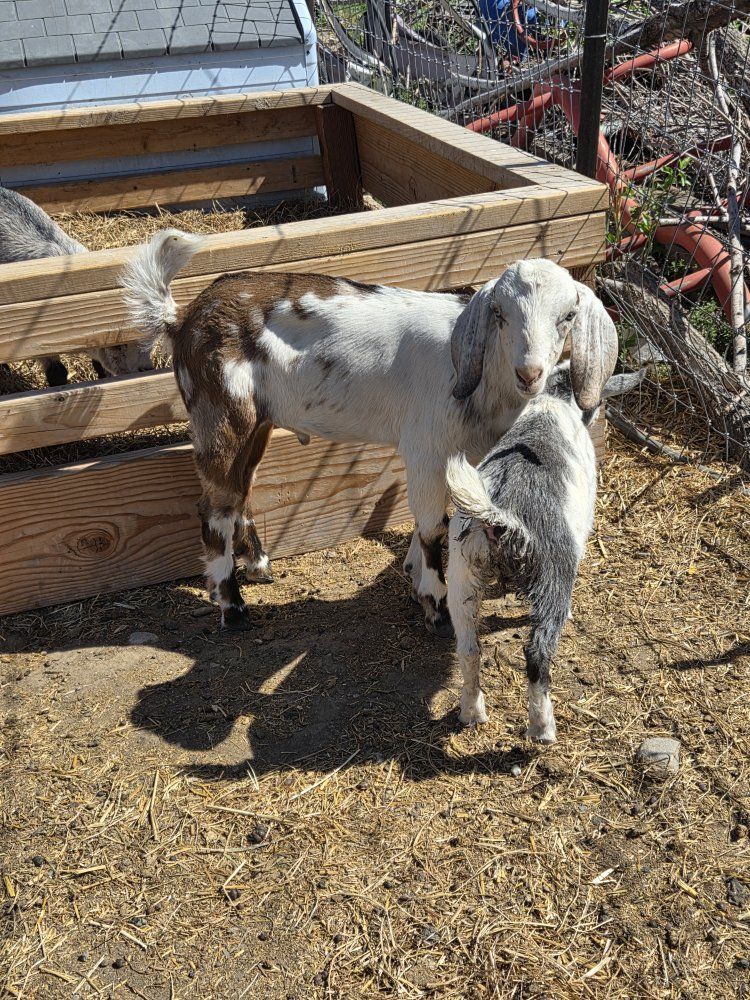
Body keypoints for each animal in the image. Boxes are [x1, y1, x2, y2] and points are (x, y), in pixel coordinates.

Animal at [121, 229, 617, 632]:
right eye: (499, 313)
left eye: (568, 316)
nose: (529, 373)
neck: (480, 381)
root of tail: (181, 320)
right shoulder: (426, 446)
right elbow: (432, 527)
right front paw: (434, 603)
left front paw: (413, 575)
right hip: (221, 412)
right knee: (215, 508)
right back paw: (233, 607)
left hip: (256, 423)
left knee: (239, 492)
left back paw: (259, 566)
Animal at [445, 364, 642, 741]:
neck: (555, 399)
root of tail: (500, 517)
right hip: (554, 574)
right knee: (537, 653)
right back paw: (542, 727)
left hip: (461, 574)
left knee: (469, 648)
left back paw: (472, 713)